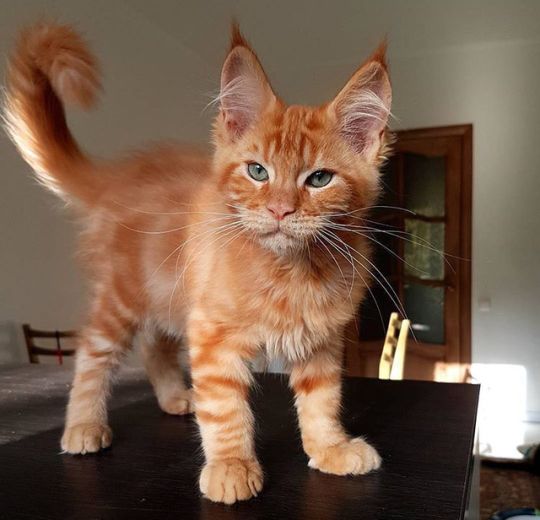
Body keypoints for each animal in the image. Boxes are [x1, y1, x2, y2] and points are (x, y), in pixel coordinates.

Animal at [4, 23, 392, 504]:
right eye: (257, 172)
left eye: (319, 179)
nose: (280, 210)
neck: (291, 269)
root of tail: (118, 177)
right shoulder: (212, 332)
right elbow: (225, 409)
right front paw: (230, 467)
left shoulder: (320, 340)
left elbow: (322, 401)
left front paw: (330, 448)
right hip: (123, 298)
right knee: (92, 355)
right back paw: (83, 425)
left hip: (167, 295)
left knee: (154, 346)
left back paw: (174, 397)